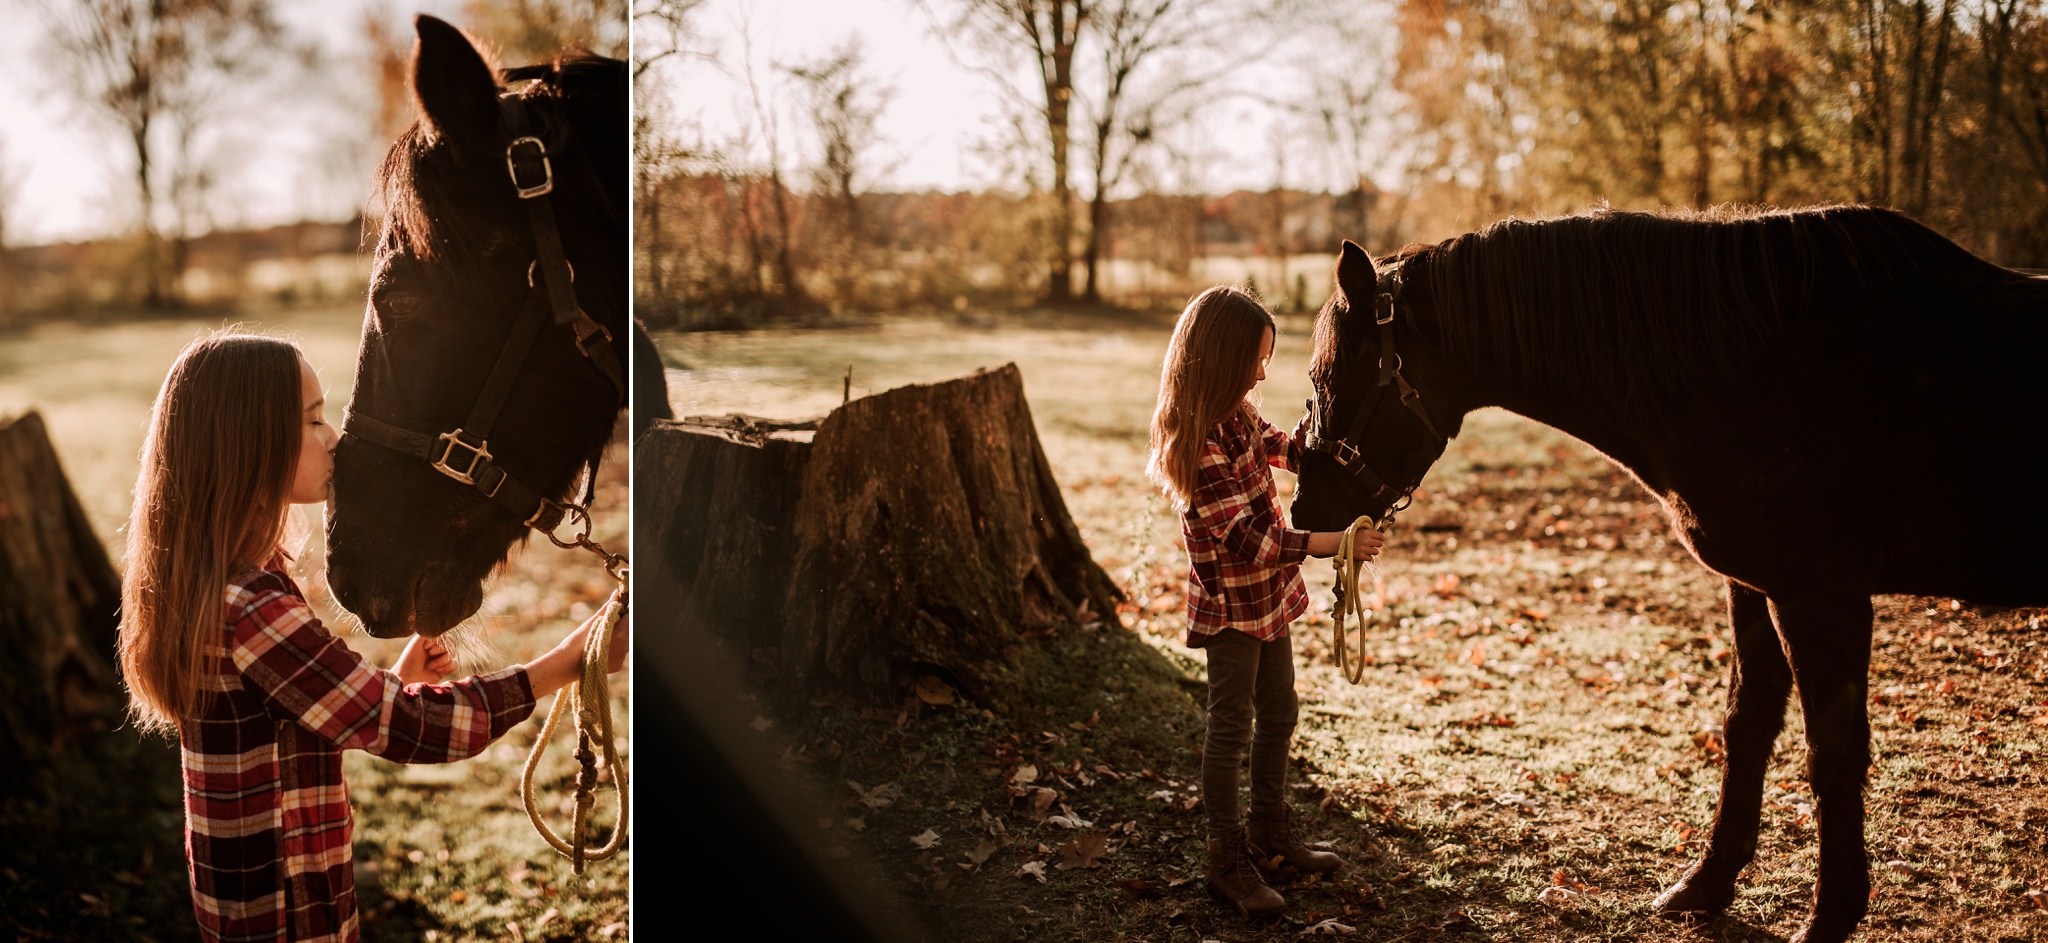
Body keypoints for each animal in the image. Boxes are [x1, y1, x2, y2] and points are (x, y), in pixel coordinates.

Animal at [1294, 202, 2048, 938]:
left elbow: (1832, 751)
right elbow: (1746, 725)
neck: (1759, 364)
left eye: (1330, 377)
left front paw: (1830, 916)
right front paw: (1707, 884)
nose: (1304, 512)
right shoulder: (1754, 586)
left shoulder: (1821, 594)